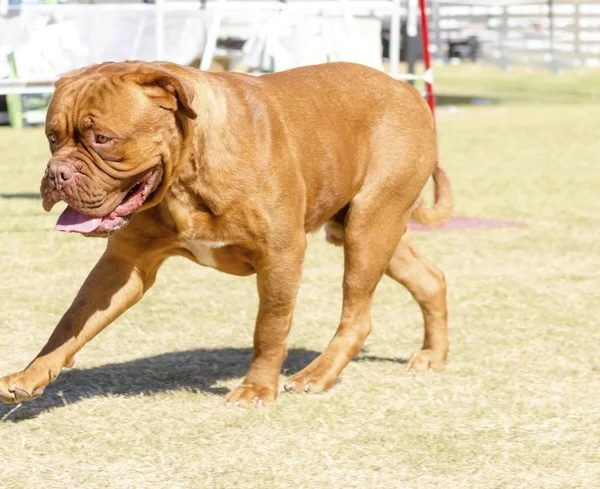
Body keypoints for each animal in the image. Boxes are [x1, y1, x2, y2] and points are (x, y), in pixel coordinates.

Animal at [0, 61, 452, 406]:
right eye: (52, 137)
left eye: (103, 139)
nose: (56, 173)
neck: (184, 177)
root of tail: (407, 90)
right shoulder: (124, 265)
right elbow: (73, 320)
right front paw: (32, 373)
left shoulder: (281, 255)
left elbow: (269, 328)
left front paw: (258, 389)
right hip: (367, 230)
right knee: (430, 279)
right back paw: (433, 356)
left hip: (369, 227)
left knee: (357, 315)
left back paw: (317, 375)